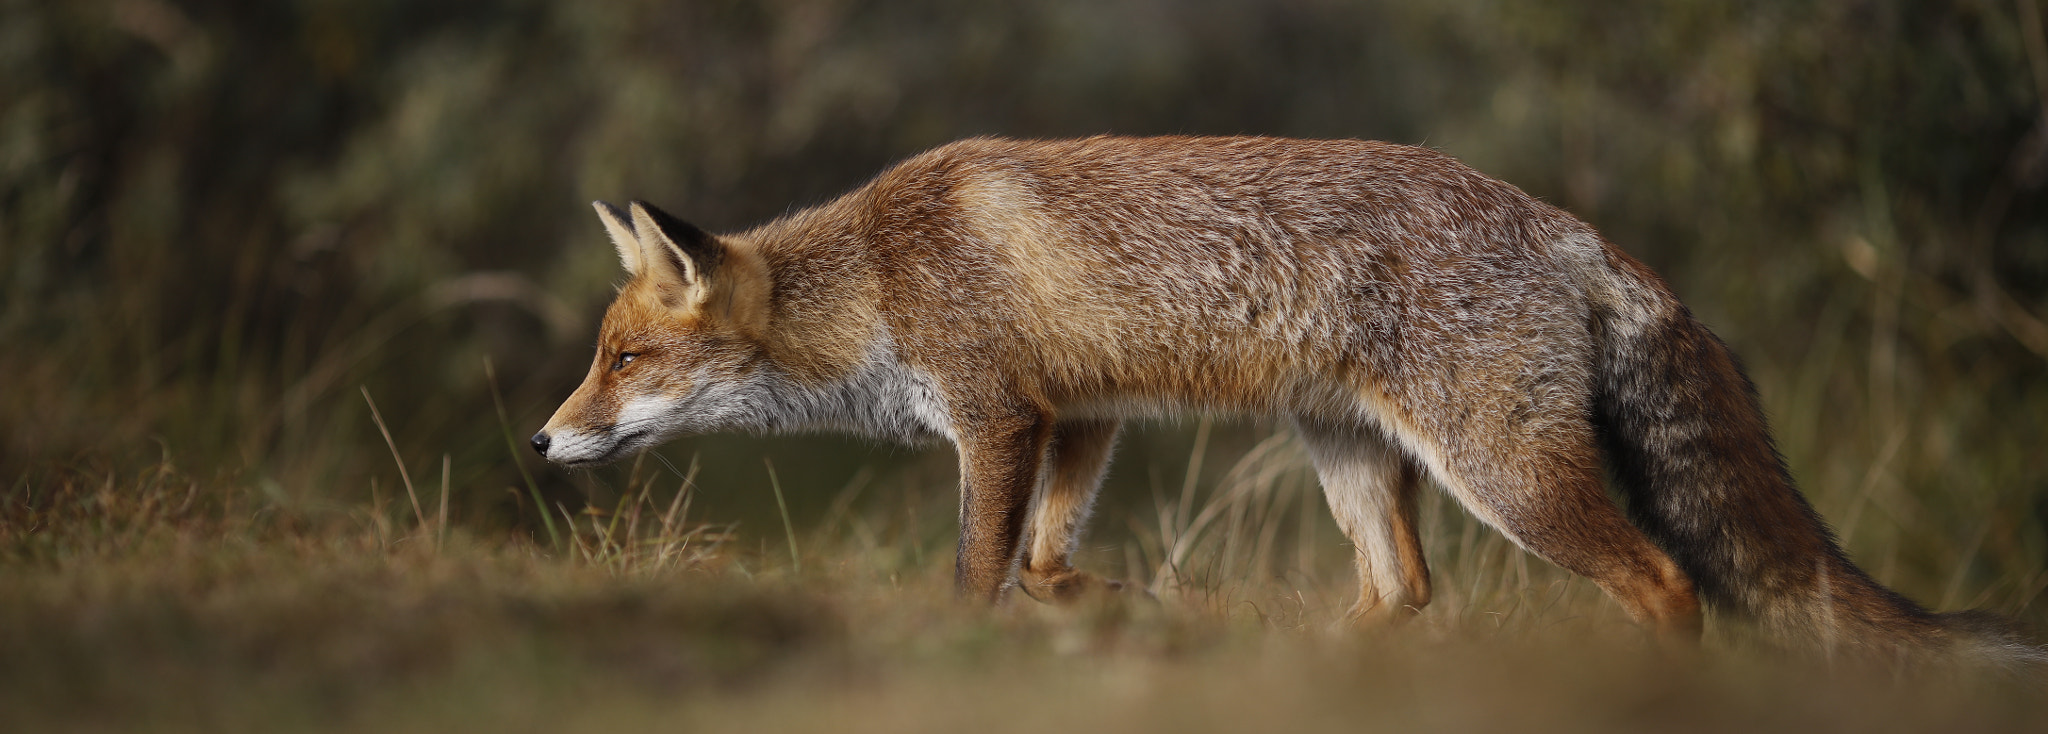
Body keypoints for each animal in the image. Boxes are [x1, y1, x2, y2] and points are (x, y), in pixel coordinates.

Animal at [533, 135, 2037, 662]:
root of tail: (1569, 226)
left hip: (1505, 473)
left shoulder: (1001, 417)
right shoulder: (1081, 415)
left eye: (622, 360)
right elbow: (1047, 561)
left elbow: (976, 570)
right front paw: (1134, 603)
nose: (545, 438)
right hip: (1349, 454)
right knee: (1399, 594)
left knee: (1664, 582)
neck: (880, 276)